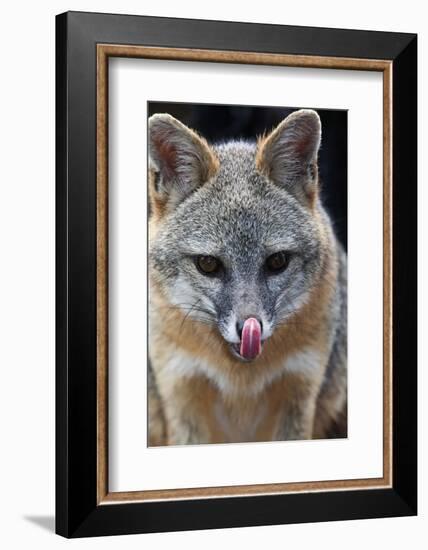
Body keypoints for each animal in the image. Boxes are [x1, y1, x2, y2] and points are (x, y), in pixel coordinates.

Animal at [147, 109, 348, 448]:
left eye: (277, 261)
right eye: (208, 264)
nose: (249, 329)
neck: (240, 380)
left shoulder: (299, 389)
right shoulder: (181, 390)